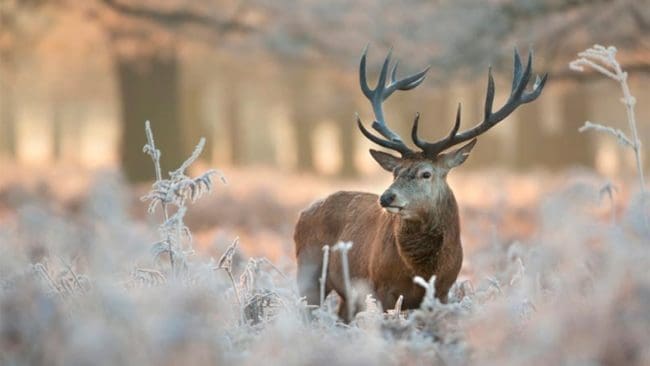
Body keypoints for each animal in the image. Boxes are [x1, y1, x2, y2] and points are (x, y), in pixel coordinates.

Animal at [292, 46, 540, 320]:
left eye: (426, 173)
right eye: (395, 172)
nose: (386, 197)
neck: (422, 269)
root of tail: (303, 213)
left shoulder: (443, 291)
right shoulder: (381, 288)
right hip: (309, 271)